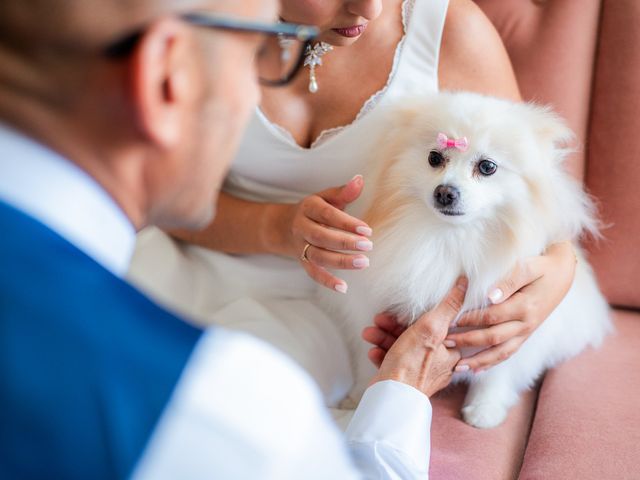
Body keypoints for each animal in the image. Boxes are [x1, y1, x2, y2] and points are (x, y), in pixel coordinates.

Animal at [324, 92, 616, 430]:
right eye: (434, 158)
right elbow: (366, 356)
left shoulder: (511, 324)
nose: (445, 192)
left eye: (487, 166)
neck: (449, 238)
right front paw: (360, 394)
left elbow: (498, 370)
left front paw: (484, 408)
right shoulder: (371, 309)